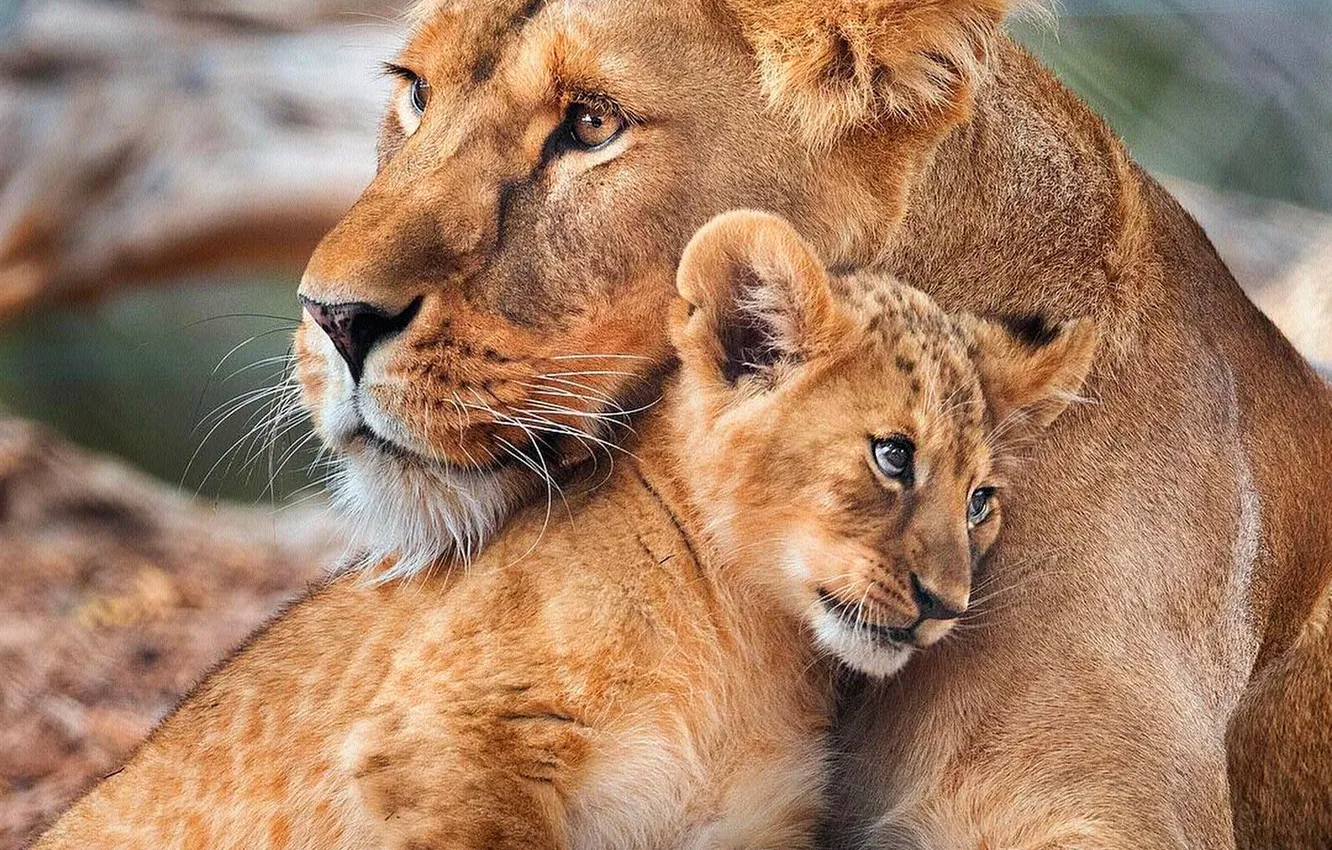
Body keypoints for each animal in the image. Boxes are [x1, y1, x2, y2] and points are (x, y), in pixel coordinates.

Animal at [32, 210, 1094, 848]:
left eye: (980, 501)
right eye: (892, 456)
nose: (944, 604)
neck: (747, 645)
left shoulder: (744, 824)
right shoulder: (439, 744)